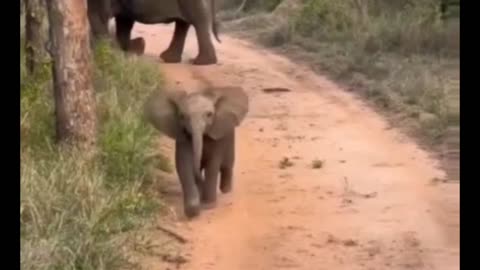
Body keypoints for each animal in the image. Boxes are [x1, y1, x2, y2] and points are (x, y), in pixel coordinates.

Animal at [86, 0, 221, 65]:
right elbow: (124, 20)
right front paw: (129, 51)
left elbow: (99, 15)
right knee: (183, 22)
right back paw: (168, 58)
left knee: (197, 19)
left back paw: (201, 62)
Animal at [144, 86, 249, 217]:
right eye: (182, 116)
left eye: (209, 114)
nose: (201, 198)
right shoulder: (183, 137)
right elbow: (184, 165)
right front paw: (193, 209)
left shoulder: (216, 137)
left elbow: (212, 166)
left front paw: (208, 206)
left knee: (227, 165)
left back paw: (226, 190)